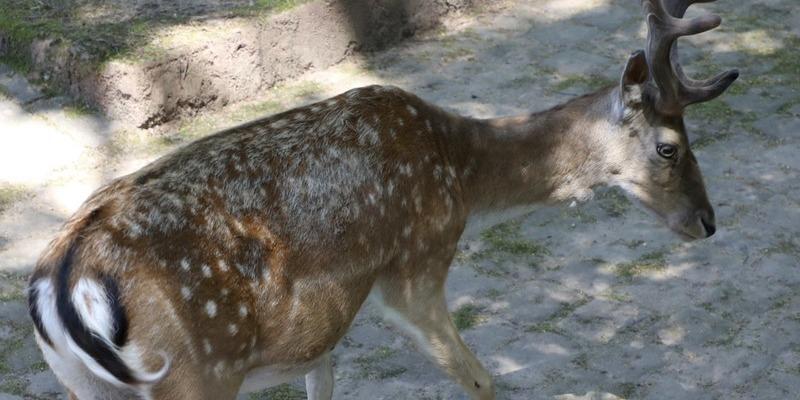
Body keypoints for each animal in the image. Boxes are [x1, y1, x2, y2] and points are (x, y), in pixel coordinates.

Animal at [26, 1, 736, 398]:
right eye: (669, 147)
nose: (707, 222)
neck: (460, 173)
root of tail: (59, 286)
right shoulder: (414, 269)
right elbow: (482, 381)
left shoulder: (321, 337)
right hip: (194, 372)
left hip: (90, 389)